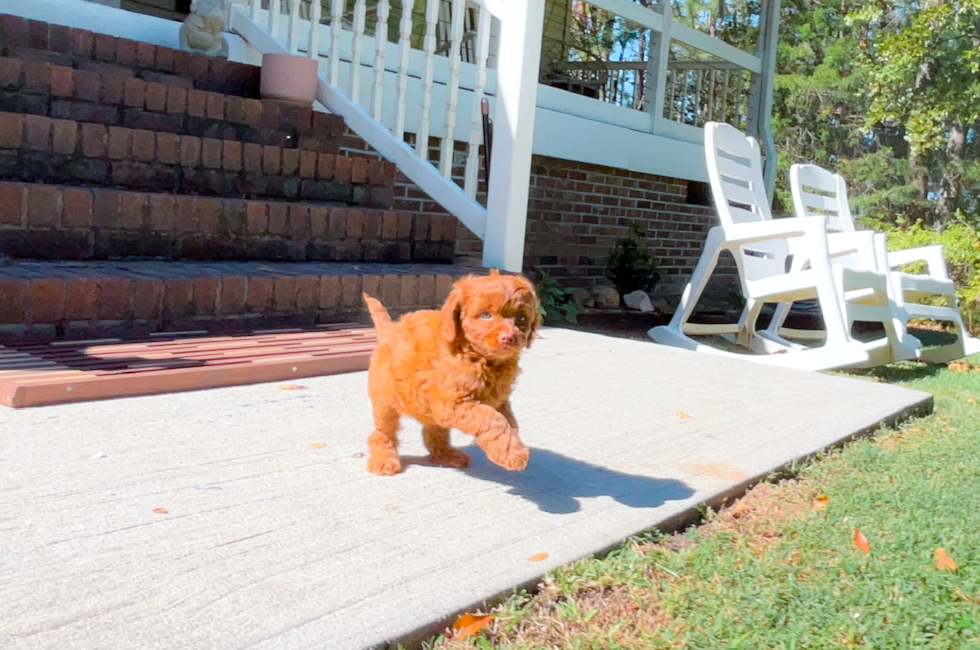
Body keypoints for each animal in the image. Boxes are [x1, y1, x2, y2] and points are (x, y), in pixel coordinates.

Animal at [362, 268, 540, 476]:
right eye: (485, 315)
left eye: (521, 317)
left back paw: (446, 455)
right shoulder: (451, 402)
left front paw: (506, 444)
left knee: (433, 432)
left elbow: (507, 419)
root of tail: (389, 330)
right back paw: (383, 458)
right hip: (385, 399)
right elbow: (489, 417)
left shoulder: (498, 399)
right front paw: (512, 452)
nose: (508, 337)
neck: (479, 357)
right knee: (383, 431)